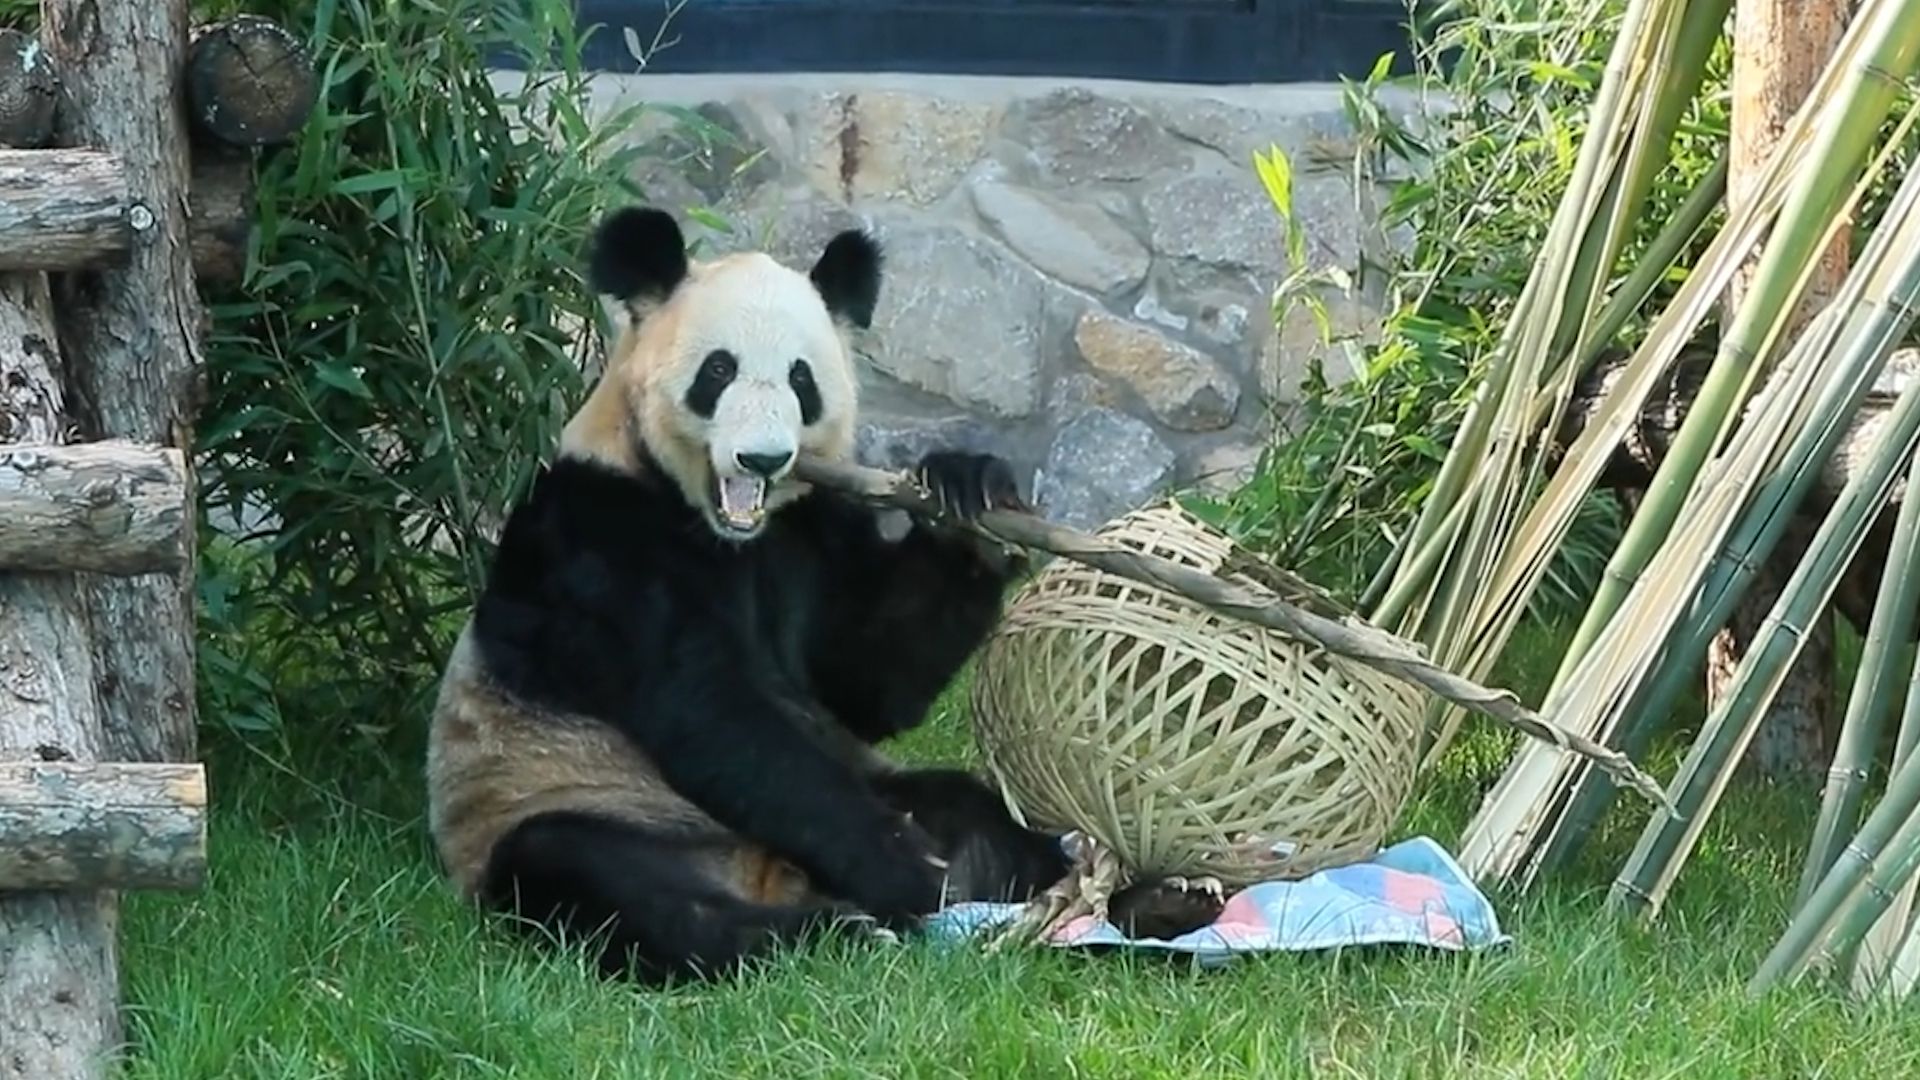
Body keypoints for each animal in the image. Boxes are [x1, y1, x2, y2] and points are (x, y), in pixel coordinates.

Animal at [424, 203, 1082, 983]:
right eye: (718, 370)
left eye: (802, 379)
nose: (763, 459)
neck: (726, 531)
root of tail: (766, 876)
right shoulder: (600, 544)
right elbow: (711, 711)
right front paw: (904, 870)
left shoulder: (811, 529)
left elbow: (865, 681)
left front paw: (971, 496)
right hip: (571, 799)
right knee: (595, 877)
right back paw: (832, 930)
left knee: (967, 812)